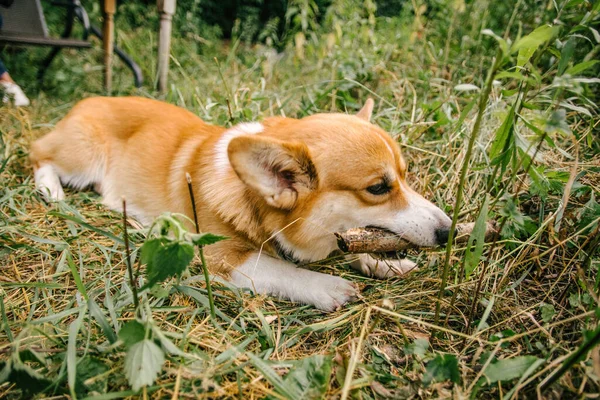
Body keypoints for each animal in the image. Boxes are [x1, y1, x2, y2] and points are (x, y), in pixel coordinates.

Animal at [29, 96, 450, 310]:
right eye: (378, 188)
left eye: (406, 176)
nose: (447, 231)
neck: (250, 197)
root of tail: (87, 99)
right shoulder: (218, 256)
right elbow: (283, 269)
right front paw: (327, 286)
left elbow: (354, 245)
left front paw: (384, 264)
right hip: (83, 158)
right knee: (37, 155)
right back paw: (53, 193)